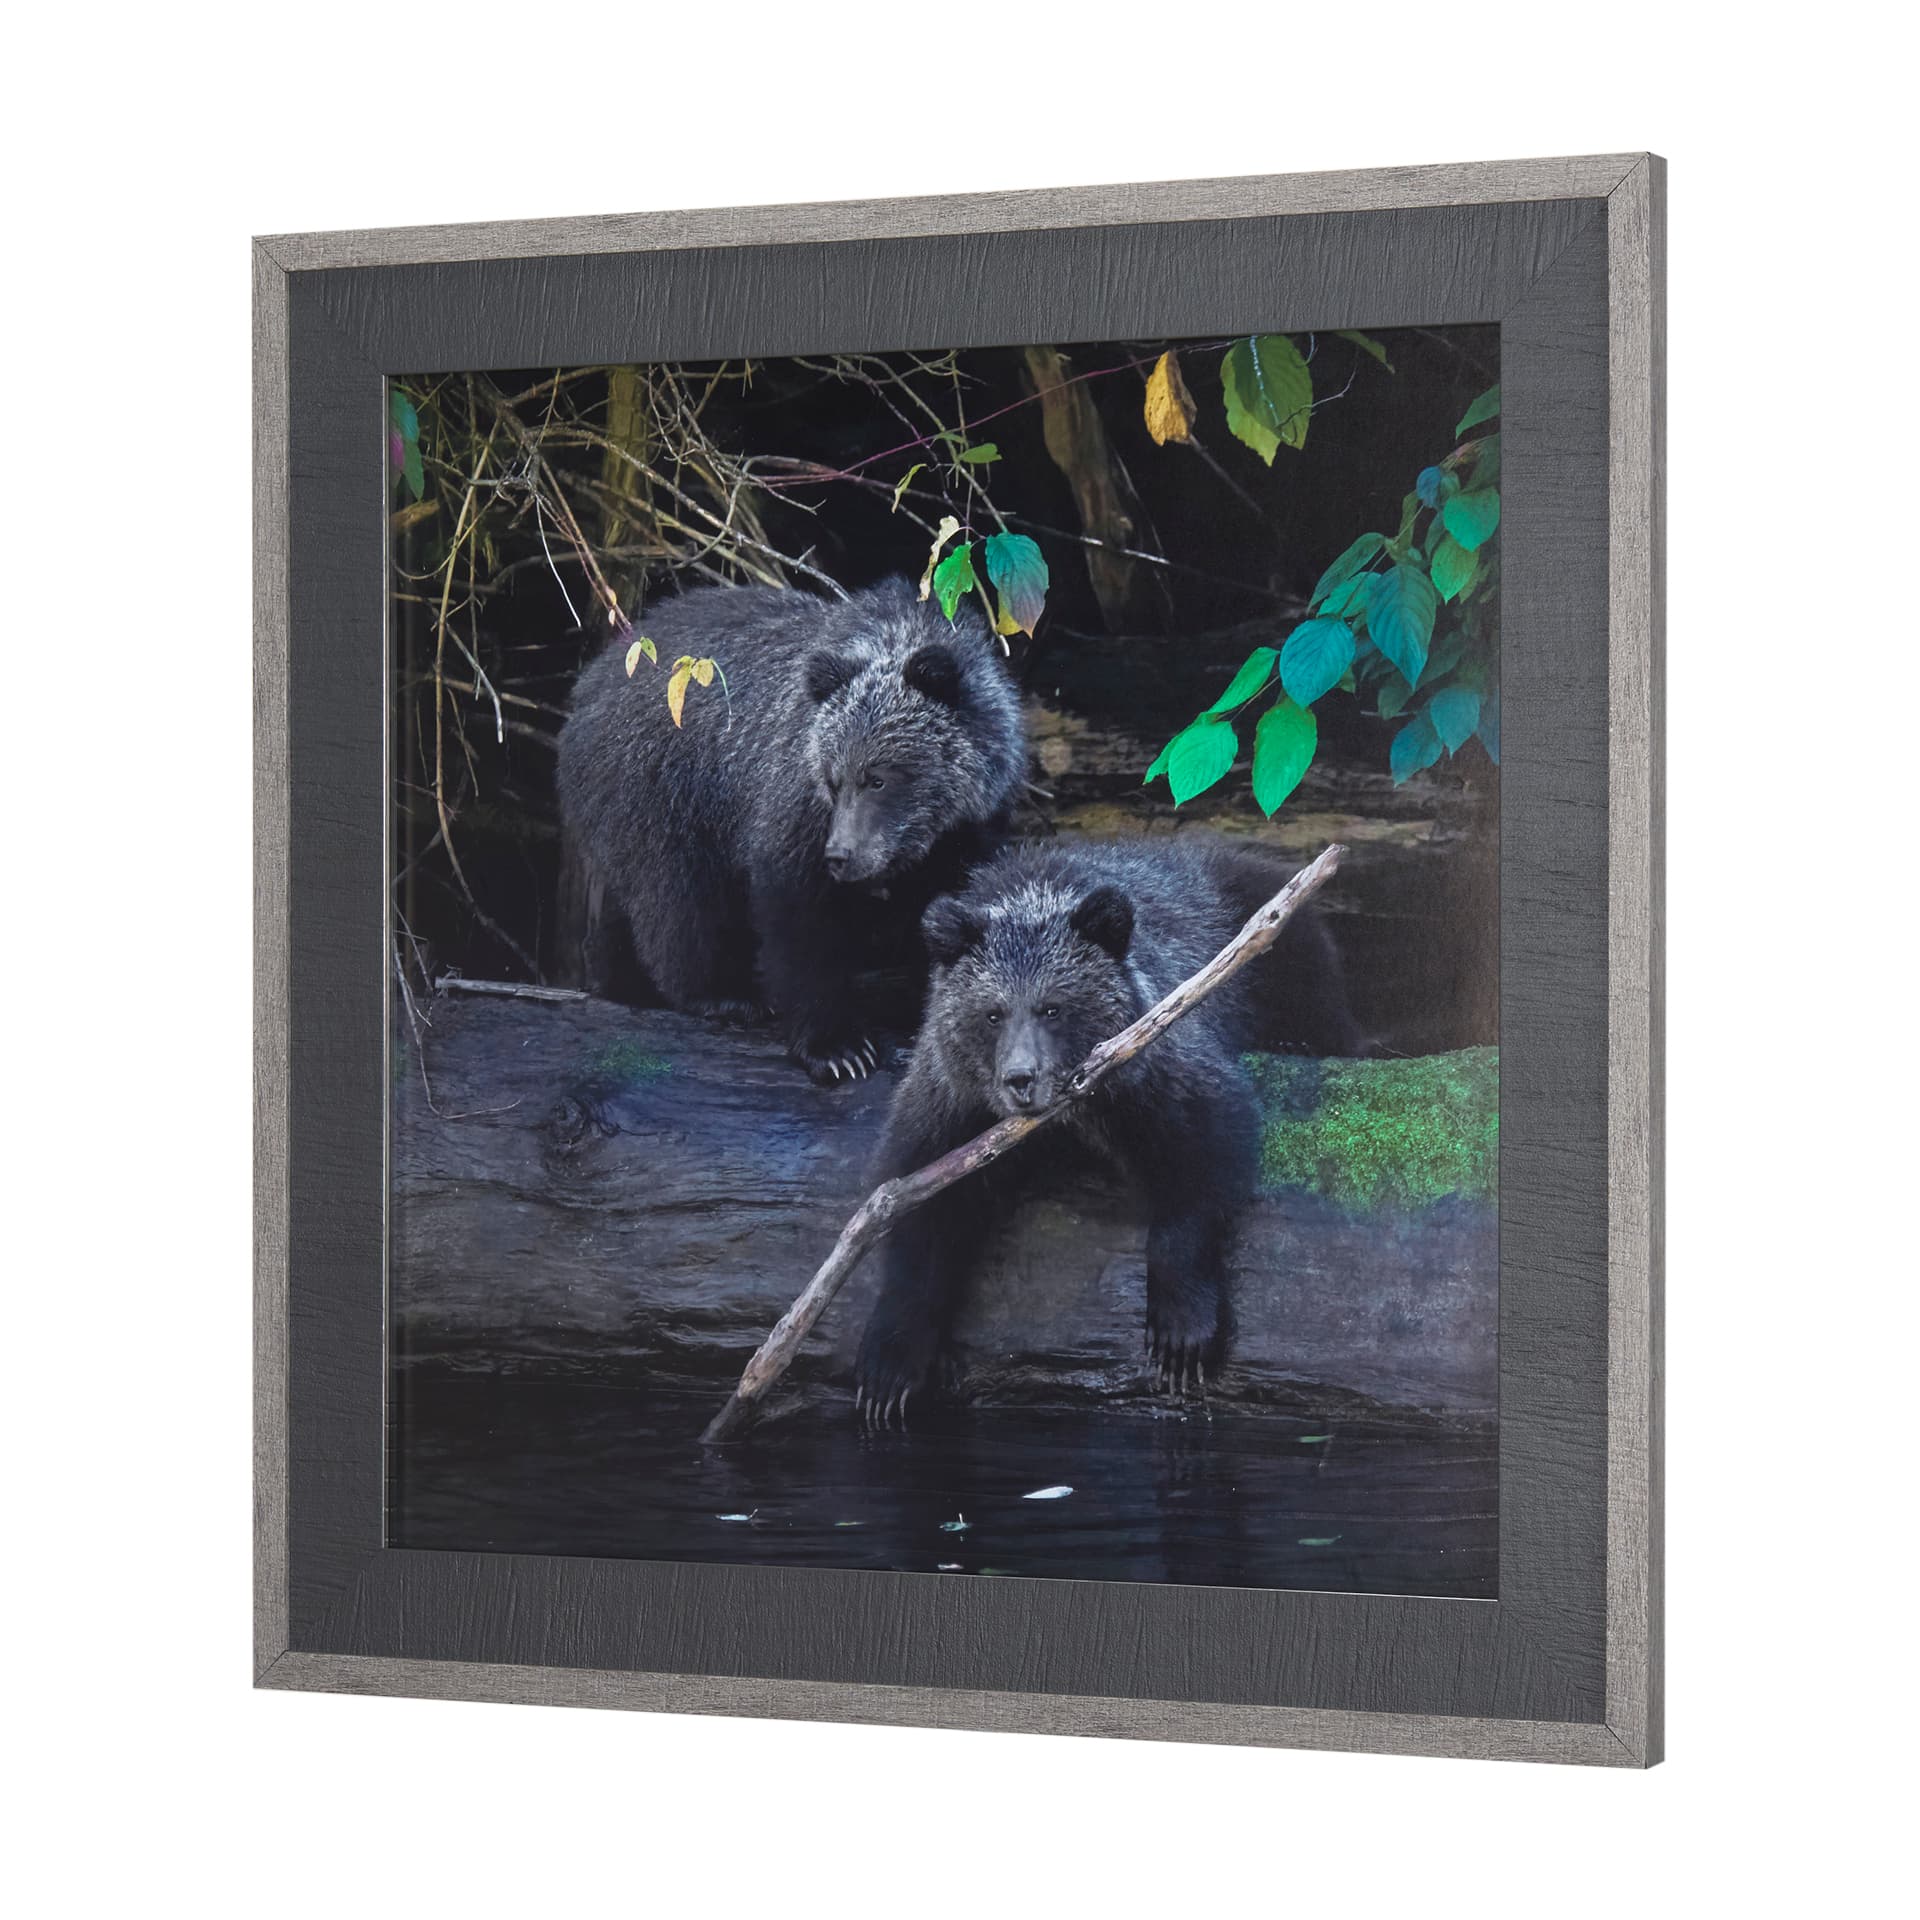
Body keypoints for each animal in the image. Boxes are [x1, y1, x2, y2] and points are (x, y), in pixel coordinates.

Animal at [556, 578, 1027, 1083]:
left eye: (878, 778)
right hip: (663, 795)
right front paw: (839, 1048)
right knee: (678, 898)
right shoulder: (794, 804)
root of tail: (590, 683)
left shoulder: (970, 827)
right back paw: (722, 993)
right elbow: (796, 913)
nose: (841, 855)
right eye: (834, 778)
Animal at [852, 834, 1363, 1422]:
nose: (1020, 1079)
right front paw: (889, 1369)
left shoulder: (1151, 1065)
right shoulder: (954, 1105)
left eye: (1052, 1007)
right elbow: (918, 1207)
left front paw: (1180, 1333)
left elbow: (1204, 1147)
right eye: (992, 1013)